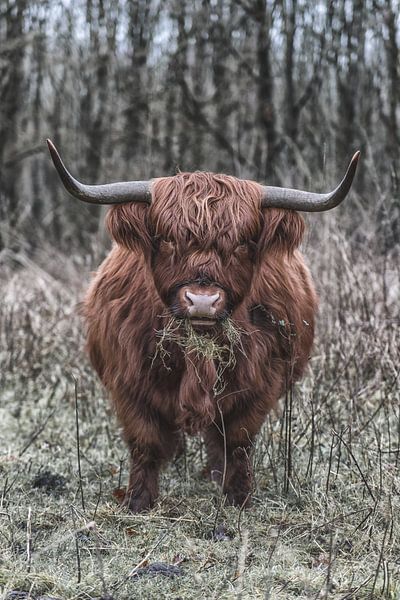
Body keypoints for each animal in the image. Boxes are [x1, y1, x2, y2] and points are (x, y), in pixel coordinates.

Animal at [47, 141, 360, 510]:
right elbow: (145, 442)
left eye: (242, 243)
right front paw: (139, 502)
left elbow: (237, 441)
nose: (201, 300)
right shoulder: (130, 383)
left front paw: (238, 498)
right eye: (167, 239)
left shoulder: (260, 384)